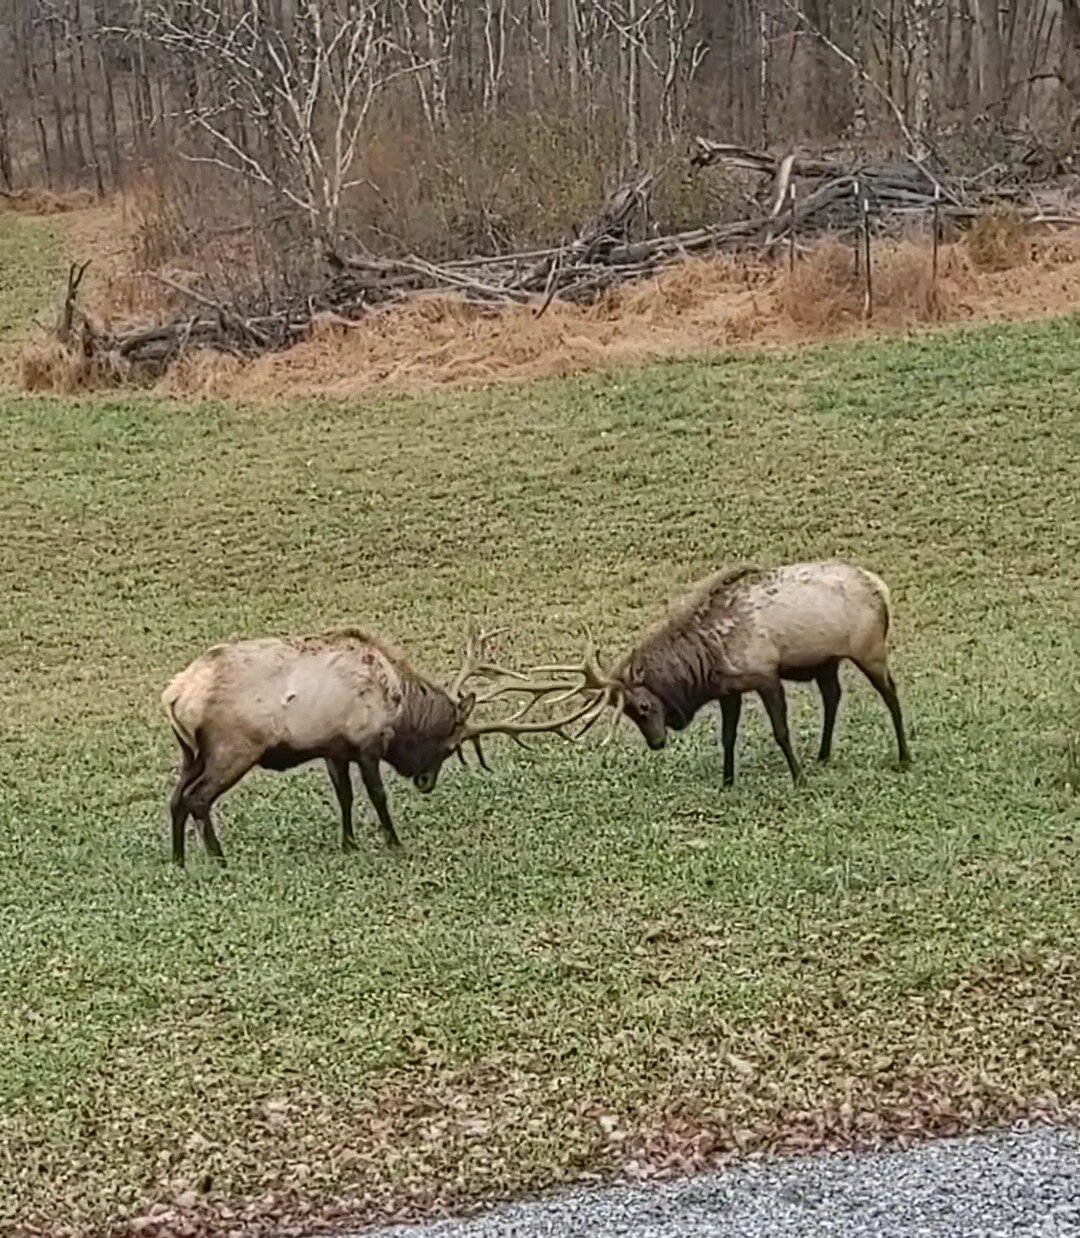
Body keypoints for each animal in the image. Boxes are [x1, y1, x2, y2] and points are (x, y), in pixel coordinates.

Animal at [161, 623, 587, 866]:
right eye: (449, 747)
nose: (425, 782)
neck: (400, 703)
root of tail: (175, 696)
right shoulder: (367, 741)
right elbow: (378, 795)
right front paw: (393, 841)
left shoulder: (333, 748)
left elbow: (345, 797)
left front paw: (349, 843)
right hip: (233, 748)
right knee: (198, 797)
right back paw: (218, 858)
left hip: (189, 753)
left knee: (176, 798)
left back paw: (179, 859)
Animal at [522, 559, 911, 782]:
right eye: (629, 713)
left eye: (644, 706)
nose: (657, 743)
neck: (706, 661)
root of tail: (881, 587)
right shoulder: (730, 689)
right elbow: (728, 736)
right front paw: (727, 781)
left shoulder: (765, 675)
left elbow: (781, 732)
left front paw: (798, 778)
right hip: (826, 662)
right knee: (833, 696)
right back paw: (823, 754)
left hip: (870, 650)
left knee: (891, 695)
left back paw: (904, 757)